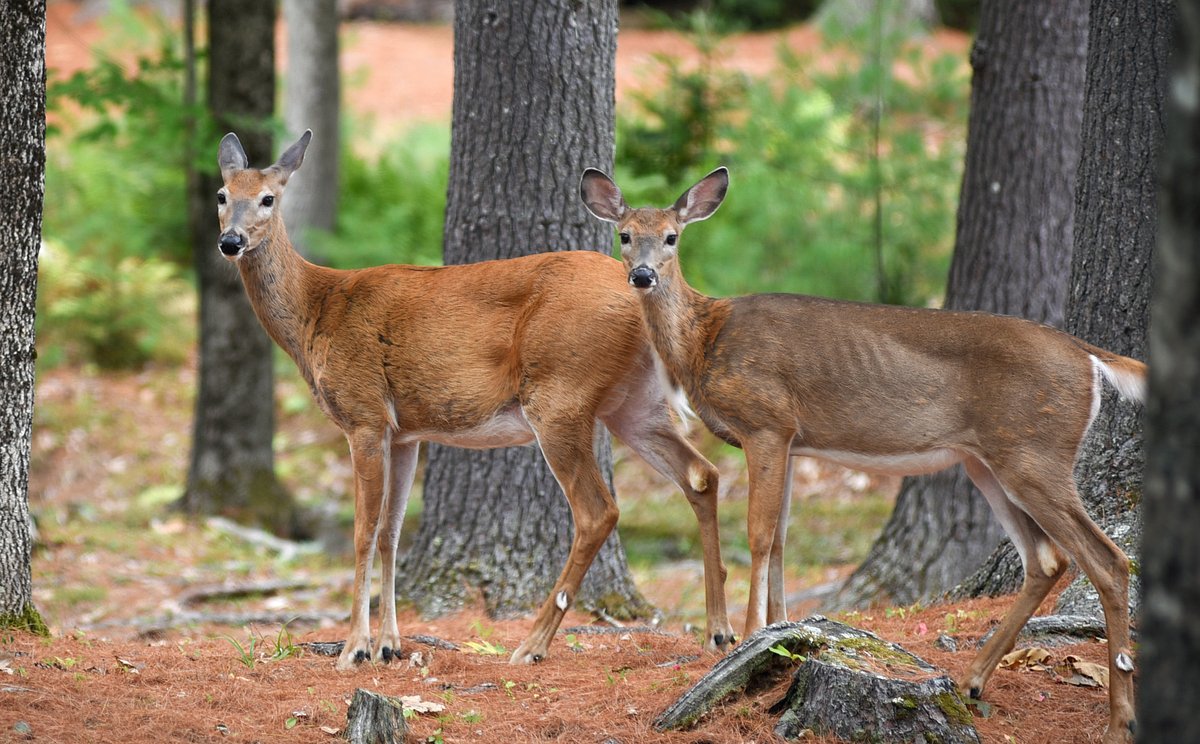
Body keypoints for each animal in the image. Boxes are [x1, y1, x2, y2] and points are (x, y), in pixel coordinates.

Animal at [214, 129, 737, 671]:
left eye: (268, 198)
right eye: (221, 195)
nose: (230, 241)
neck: (316, 312)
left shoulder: (363, 414)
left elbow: (363, 532)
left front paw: (354, 648)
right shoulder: (404, 433)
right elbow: (391, 533)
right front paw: (388, 645)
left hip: (559, 394)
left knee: (599, 511)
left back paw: (531, 645)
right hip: (634, 404)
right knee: (701, 475)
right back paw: (719, 632)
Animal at [580, 166, 1143, 743]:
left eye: (672, 237)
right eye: (625, 235)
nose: (642, 276)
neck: (705, 339)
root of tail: (1086, 354)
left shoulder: (766, 421)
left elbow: (758, 535)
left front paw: (747, 635)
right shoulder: (791, 440)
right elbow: (780, 538)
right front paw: (778, 634)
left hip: (1035, 451)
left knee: (1107, 559)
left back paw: (1118, 718)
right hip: (987, 459)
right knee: (1047, 559)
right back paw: (973, 681)